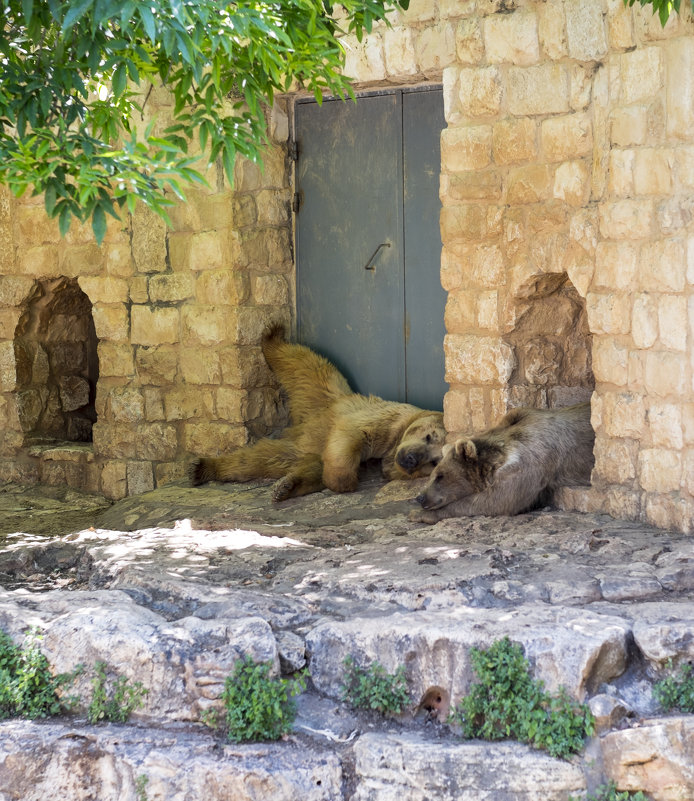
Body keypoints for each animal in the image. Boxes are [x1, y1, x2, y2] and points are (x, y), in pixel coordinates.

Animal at [190, 324, 446, 500]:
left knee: (265, 458)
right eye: (428, 436)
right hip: (321, 388)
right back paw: (272, 336)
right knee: (298, 359)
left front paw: (293, 484)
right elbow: (353, 435)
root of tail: (299, 424)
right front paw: (344, 481)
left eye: (434, 461)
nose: (411, 459)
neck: (392, 445)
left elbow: (321, 467)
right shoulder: (386, 420)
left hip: (301, 443)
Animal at [410, 400, 596, 524]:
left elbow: (497, 500)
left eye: (440, 476)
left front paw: (420, 515)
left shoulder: (532, 461)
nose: (420, 497)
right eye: (434, 474)